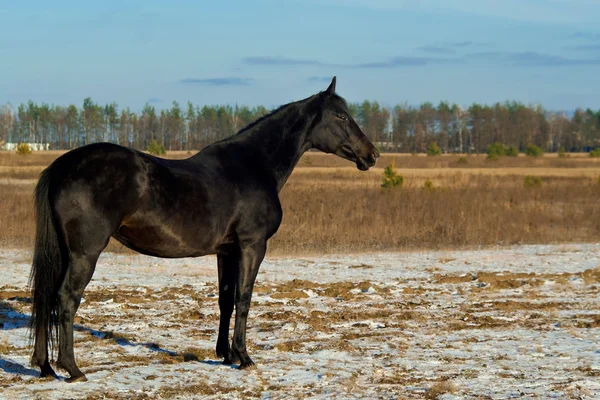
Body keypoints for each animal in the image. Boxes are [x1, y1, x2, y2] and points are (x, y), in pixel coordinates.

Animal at [29, 77, 380, 382]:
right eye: (340, 115)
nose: (372, 154)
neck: (255, 166)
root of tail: (61, 166)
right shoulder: (252, 245)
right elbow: (243, 298)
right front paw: (244, 357)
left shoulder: (227, 252)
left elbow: (226, 300)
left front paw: (225, 354)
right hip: (85, 253)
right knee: (66, 299)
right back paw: (73, 369)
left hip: (64, 252)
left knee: (46, 297)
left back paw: (45, 367)